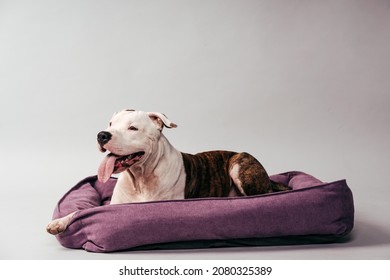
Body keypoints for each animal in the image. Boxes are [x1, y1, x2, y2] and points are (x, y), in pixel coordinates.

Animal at [46, 108, 290, 235]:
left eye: (133, 128)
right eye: (110, 123)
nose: (102, 135)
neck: (140, 178)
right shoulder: (113, 205)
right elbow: (83, 211)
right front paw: (60, 222)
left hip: (239, 163)